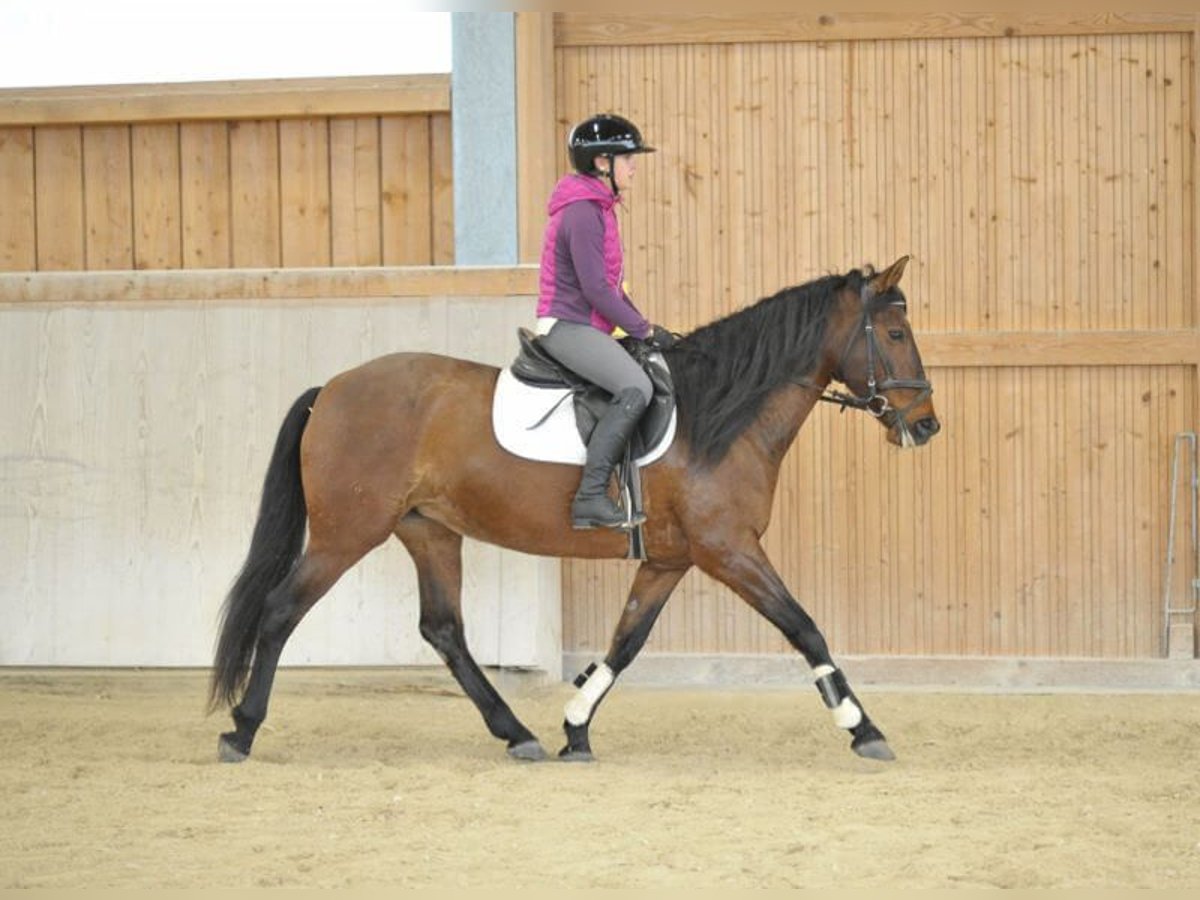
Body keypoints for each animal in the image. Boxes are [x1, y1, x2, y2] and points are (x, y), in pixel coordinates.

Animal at [208, 255, 936, 768]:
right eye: (896, 332)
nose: (926, 425)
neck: (717, 418)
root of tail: (331, 389)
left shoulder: (671, 559)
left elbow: (626, 643)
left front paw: (575, 728)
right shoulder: (729, 549)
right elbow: (805, 627)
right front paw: (864, 729)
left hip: (429, 532)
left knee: (444, 630)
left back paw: (517, 733)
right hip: (346, 533)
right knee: (280, 610)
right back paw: (241, 731)